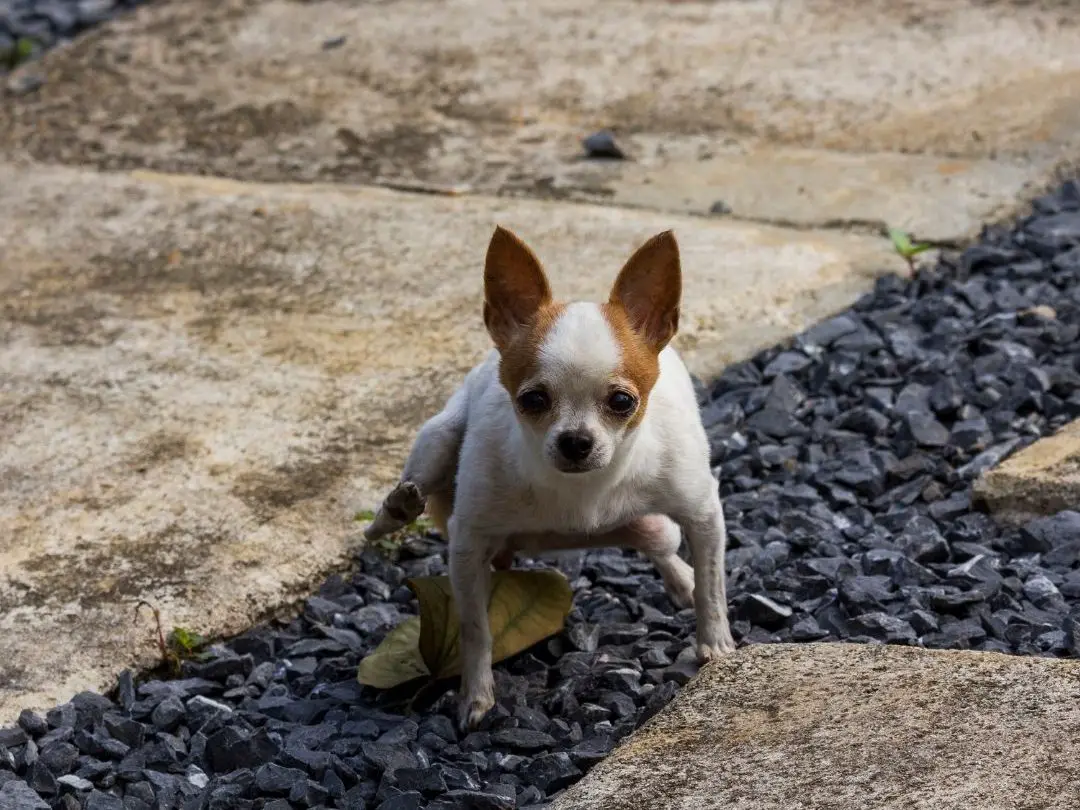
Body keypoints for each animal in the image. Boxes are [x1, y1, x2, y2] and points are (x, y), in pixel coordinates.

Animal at [367, 226, 738, 730]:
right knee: (414, 485)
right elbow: (475, 629)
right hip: (439, 438)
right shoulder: (467, 545)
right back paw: (395, 509)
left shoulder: (702, 515)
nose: (575, 441)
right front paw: (475, 695)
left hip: (653, 525)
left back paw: (681, 582)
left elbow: (713, 587)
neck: (582, 492)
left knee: (662, 547)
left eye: (622, 401)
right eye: (533, 400)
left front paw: (715, 646)